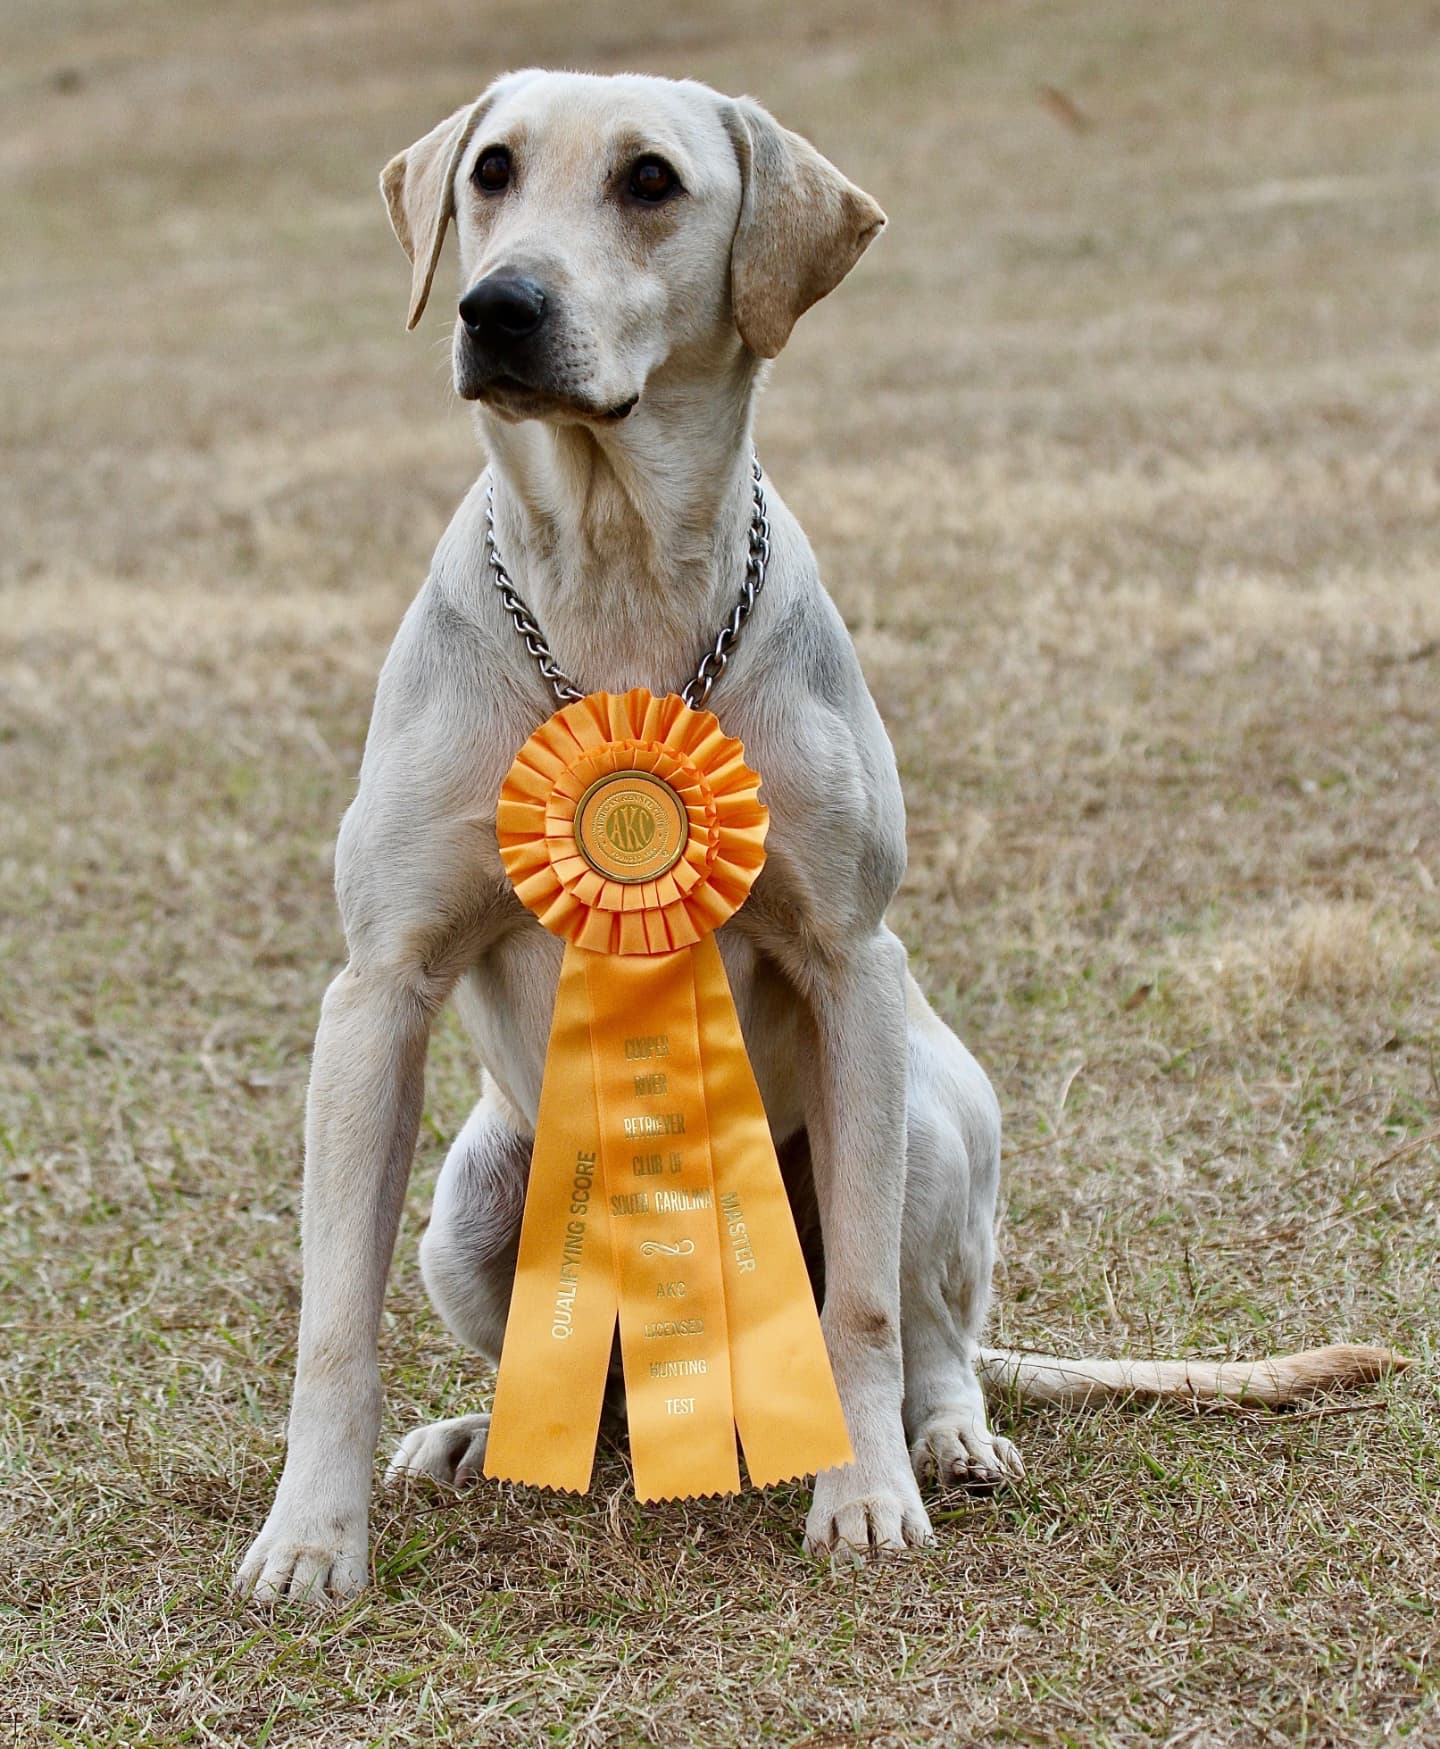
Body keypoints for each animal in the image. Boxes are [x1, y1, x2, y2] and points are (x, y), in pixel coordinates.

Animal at [234, 71, 1399, 1602]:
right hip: (474, 1196)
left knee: (935, 1333)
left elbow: (862, 1316)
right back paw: (484, 1434)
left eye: (651, 181)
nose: (497, 306)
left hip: (928, 1116)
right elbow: (334, 1322)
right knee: (599, 1390)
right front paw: (311, 1538)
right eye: (490, 172)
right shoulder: (379, 988)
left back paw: (946, 1439)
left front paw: (866, 1495)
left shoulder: (853, 965)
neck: (616, 577)